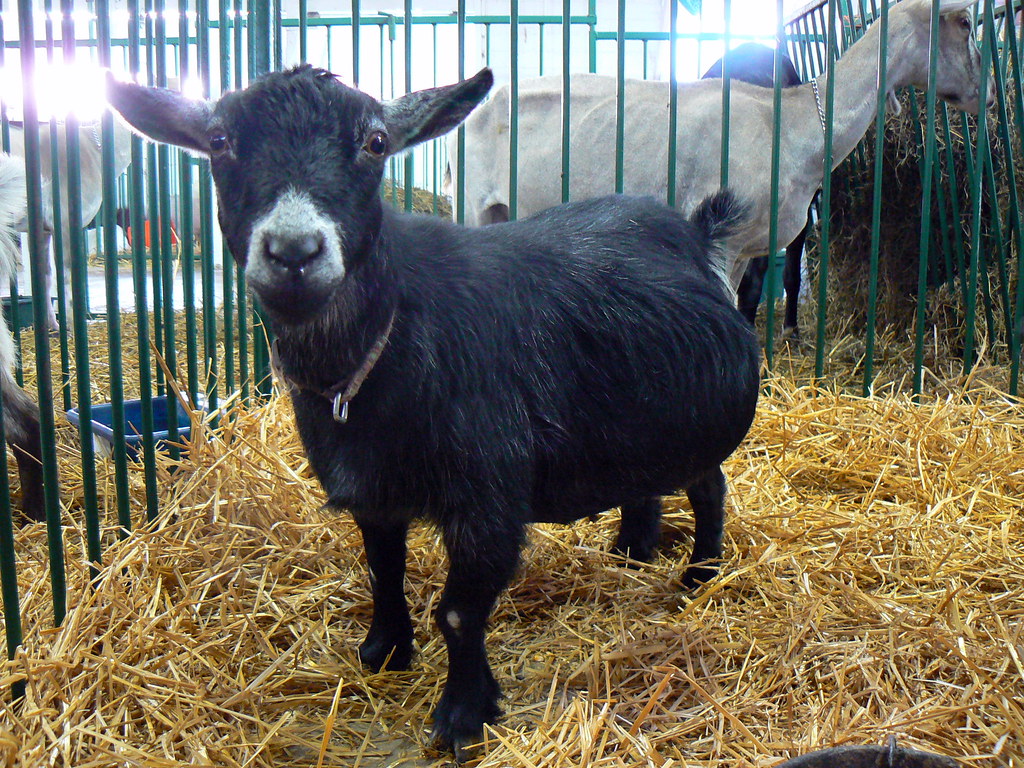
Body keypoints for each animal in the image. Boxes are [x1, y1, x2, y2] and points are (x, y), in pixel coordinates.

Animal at [6, 119, 133, 331]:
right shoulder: (65, 221)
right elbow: (64, 275)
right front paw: (70, 324)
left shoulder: (42, 229)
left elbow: (45, 276)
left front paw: (53, 324)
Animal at [107, 65, 761, 755]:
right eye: (220, 141)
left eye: (375, 143)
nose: (293, 251)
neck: (384, 341)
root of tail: (694, 233)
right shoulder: (373, 492)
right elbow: (383, 570)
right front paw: (384, 652)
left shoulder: (488, 500)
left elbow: (458, 611)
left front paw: (463, 716)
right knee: (650, 480)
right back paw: (633, 548)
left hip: (692, 424)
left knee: (709, 485)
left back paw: (700, 574)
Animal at [449, 0, 994, 297]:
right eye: (966, 23)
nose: (987, 95)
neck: (795, 125)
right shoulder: (720, 237)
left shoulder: (746, 249)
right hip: (471, 204)